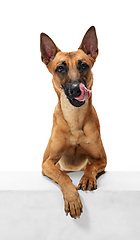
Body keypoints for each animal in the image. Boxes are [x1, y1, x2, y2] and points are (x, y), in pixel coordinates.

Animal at [40, 26, 106, 219]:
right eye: (60, 68)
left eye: (83, 65)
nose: (76, 89)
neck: (74, 119)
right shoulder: (47, 162)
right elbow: (63, 176)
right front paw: (72, 198)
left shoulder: (102, 159)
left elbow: (91, 166)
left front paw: (87, 179)